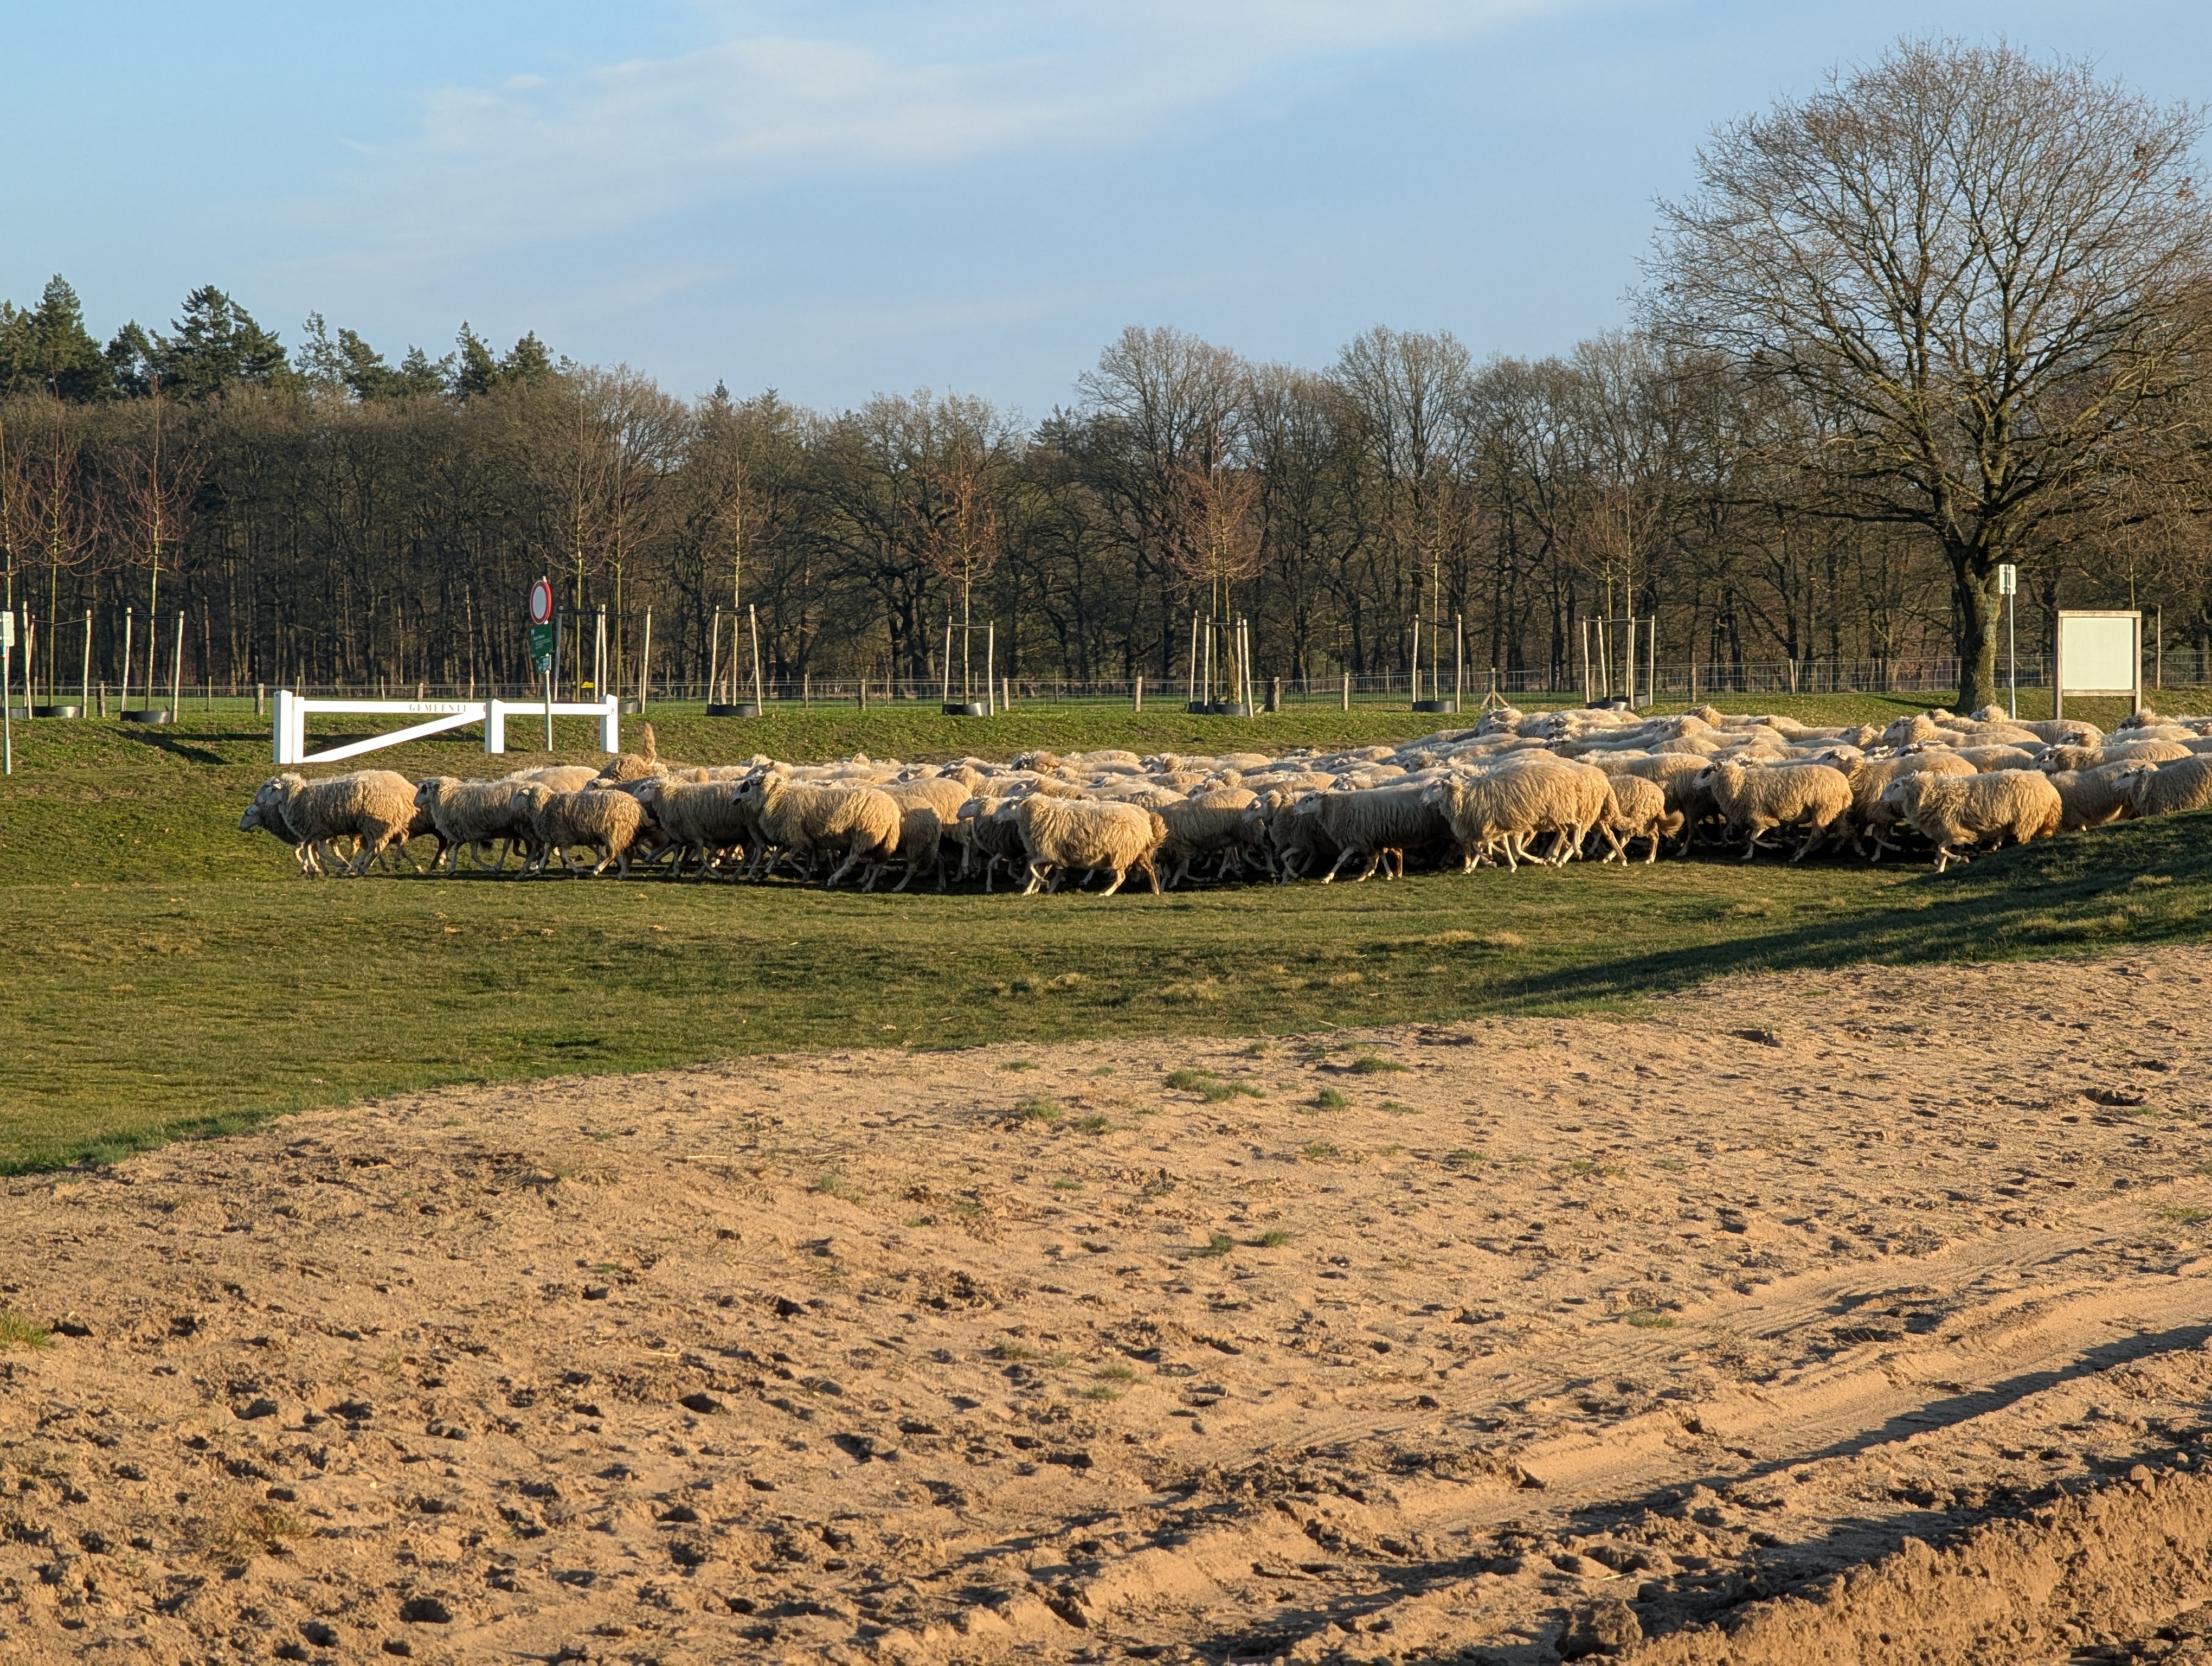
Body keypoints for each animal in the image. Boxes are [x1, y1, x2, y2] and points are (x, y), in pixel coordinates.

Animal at [517, 784, 648, 878]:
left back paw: (598, 870)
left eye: (519, 795)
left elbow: (564, 856)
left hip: (614, 832)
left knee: (613, 853)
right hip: (625, 834)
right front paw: (539, 869)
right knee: (628, 854)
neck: (546, 804)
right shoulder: (556, 836)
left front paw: (578, 869)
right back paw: (622, 873)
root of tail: (636, 805)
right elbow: (549, 851)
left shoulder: (564, 837)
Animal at [1005, 795, 1165, 896]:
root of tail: (1147, 825)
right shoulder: (1049, 855)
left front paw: (1039, 885)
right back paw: (1156, 891)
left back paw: (1105, 893)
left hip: (1122, 853)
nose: (997, 817)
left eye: (1009, 805)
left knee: (1121, 877)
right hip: (1141, 854)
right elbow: (1039, 871)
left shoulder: (1047, 853)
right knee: (1153, 869)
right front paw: (1033, 889)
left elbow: (1033, 867)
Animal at [1693, 759, 1852, 861]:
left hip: (1821, 809)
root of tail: (1844, 784)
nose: (1694, 784)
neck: (1740, 785)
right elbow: (1752, 837)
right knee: (1830, 831)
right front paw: (1749, 854)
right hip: (1831, 811)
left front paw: (1773, 846)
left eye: (1708, 771)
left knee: (1817, 834)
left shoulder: (1758, 815)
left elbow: (1752, 838)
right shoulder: (1758, 817)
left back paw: (1800, 854)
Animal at [1877, 769, 2062, 872]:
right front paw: (1940, 869)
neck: (1930, 795)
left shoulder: (1954, 829)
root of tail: (2049, 787)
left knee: (2024, 840)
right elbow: (1942, 851)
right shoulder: (1946, 831)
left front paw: (1961, 859)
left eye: (1897, 786)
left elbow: (1942, 849)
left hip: (2026, 819)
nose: (1881, 798)